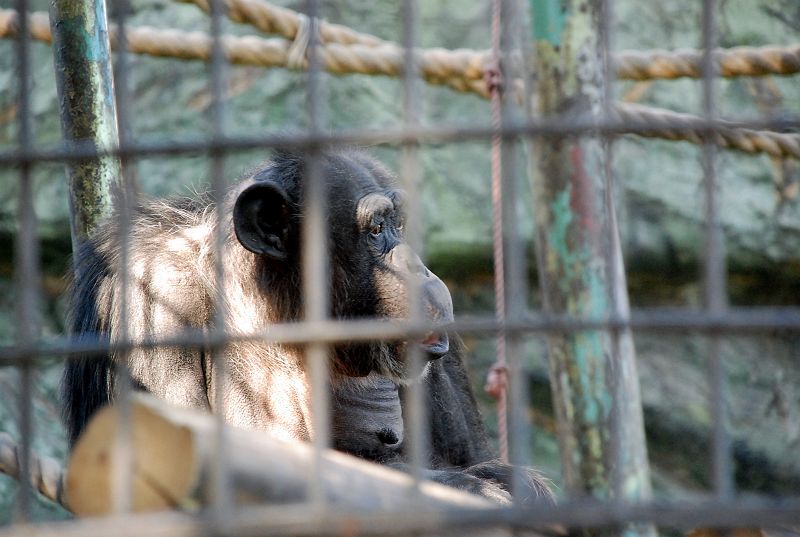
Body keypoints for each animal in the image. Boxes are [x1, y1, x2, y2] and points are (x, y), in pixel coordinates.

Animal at [62, 150, 552, 502]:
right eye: (377, 229)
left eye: (399, 224)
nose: (418, 267)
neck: (275, 311)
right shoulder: (148, 299)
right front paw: (488, 487)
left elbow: (465, 457)